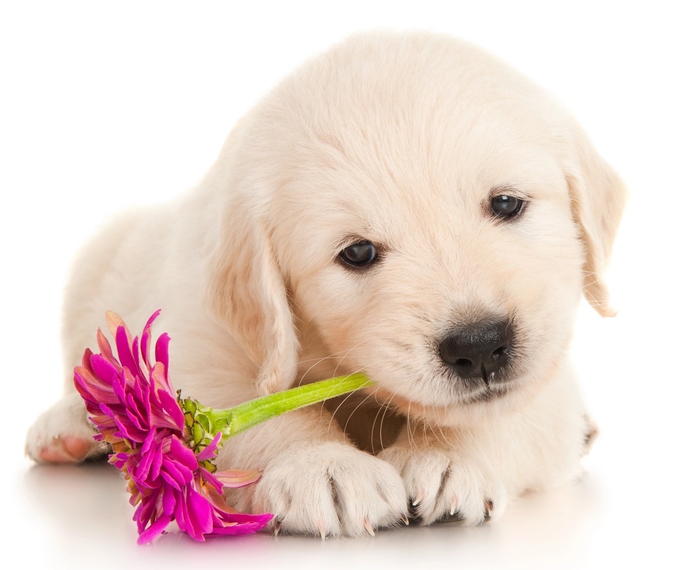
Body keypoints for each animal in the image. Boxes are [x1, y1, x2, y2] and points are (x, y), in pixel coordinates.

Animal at [26, 32, 628, 536]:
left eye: (506, 203)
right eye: (357, 253)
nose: (479, 345)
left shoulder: (551, 375)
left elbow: (513, 411)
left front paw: (448, 456)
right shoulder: (203, 336)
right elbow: (256, 404)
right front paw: (326, 467)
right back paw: (65, 428)